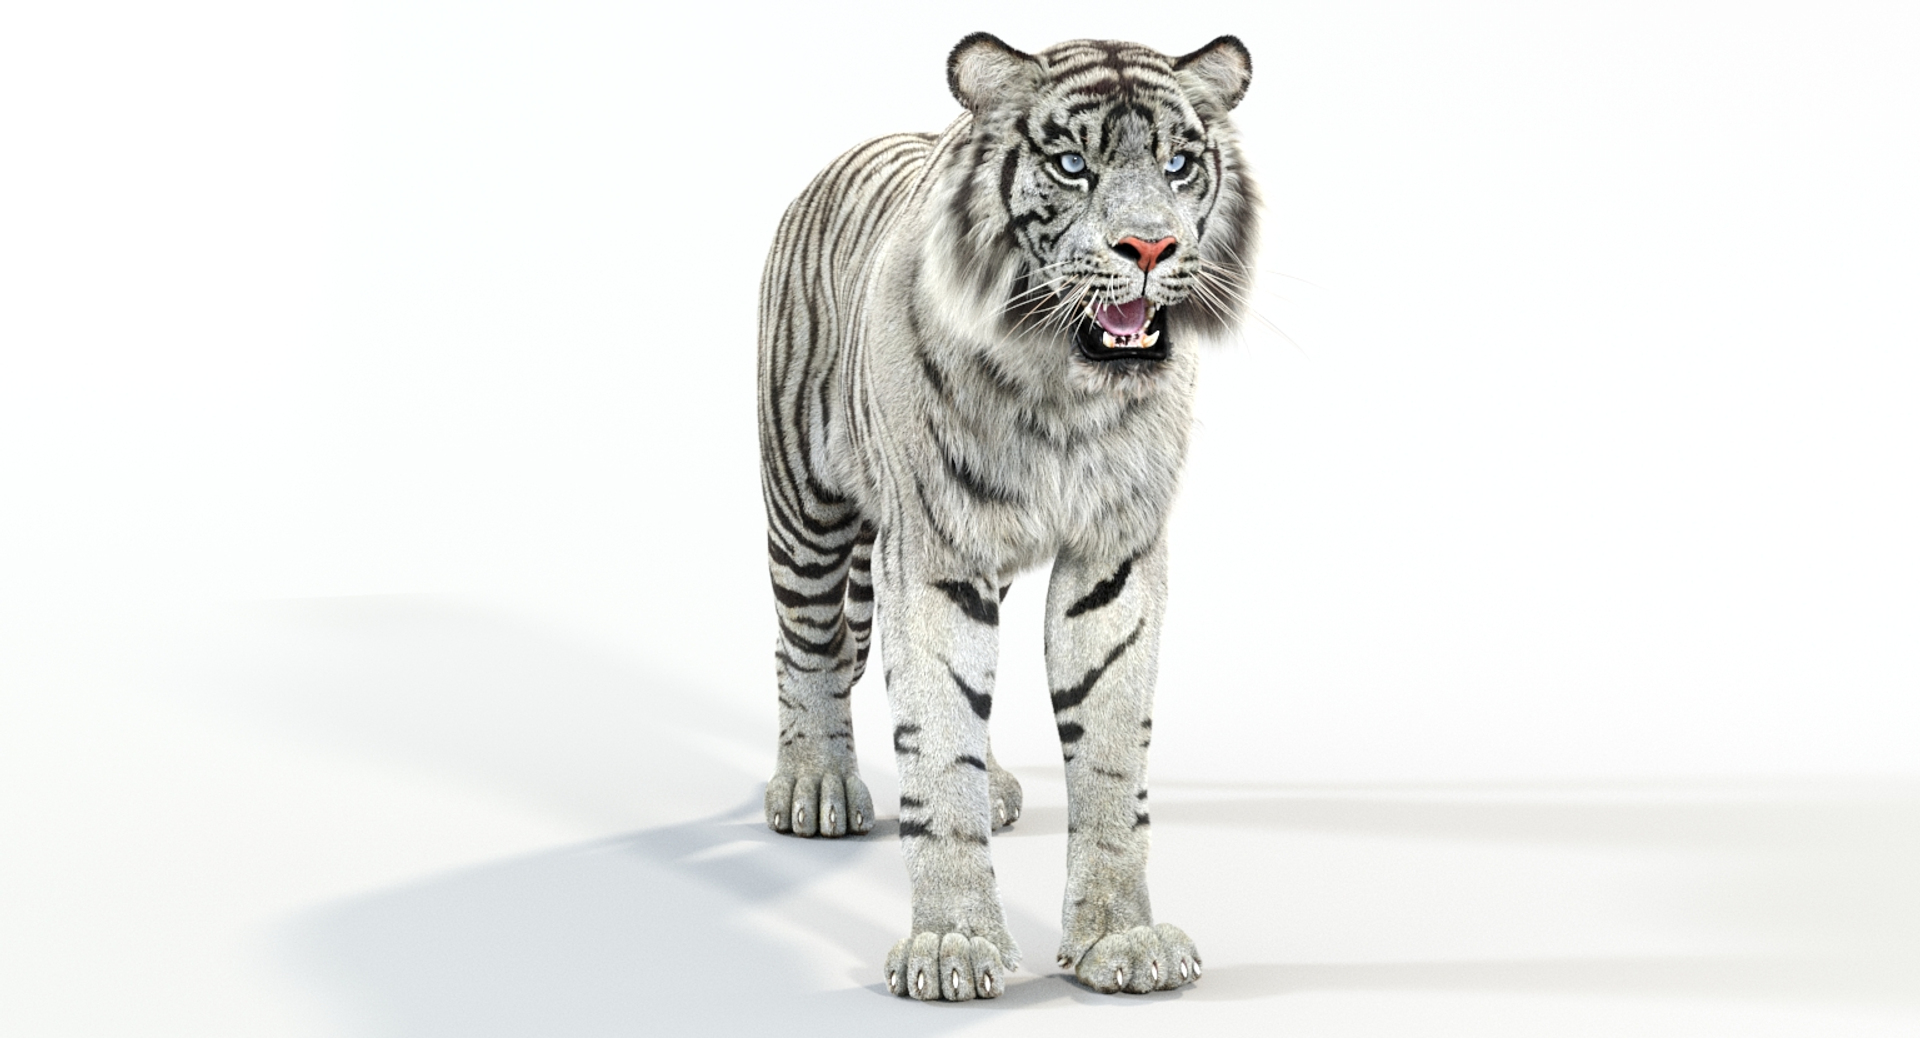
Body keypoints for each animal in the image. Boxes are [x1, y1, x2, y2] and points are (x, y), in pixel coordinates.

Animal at [756, 33, 1257, 1000]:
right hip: (804, 501)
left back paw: (990, 785)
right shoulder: (932, 553)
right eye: (1072, 166)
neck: (1061, 389)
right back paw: (815, 785)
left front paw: (1120, 939)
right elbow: (936, 738)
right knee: (809, 649)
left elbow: (1107, 751)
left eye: (1179, 165)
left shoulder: (1114, 557)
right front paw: (952, 946)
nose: (1150, 245)